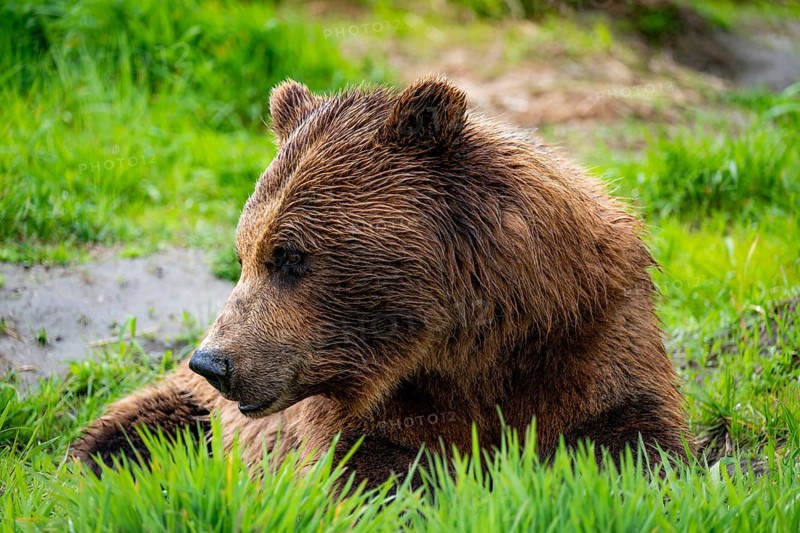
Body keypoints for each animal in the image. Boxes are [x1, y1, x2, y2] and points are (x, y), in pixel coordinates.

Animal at [71, 76, 691, 486]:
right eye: (244, 252)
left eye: (288, 256)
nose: (214, 361)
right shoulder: (363, 403)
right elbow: (360, 470)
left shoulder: (590, 336)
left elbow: (636, 441)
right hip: (193, 411)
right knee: (129, 430)